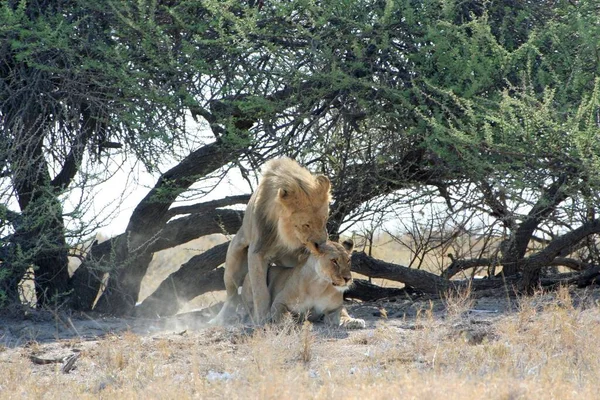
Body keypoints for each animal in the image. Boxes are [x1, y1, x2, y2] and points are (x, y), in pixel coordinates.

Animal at [212, 157, 332, 324]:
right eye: (306, 225)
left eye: (324, 220)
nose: (321, 245)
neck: (286, 235)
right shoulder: (257, 250)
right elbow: (259, 290)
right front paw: (262, 319)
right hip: (233, 260)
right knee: (232, 295)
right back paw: (220, 319)